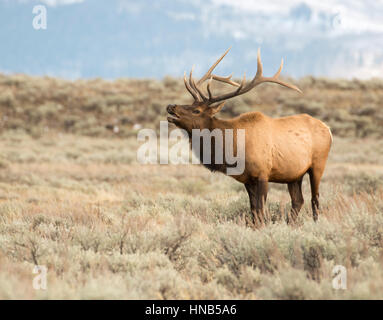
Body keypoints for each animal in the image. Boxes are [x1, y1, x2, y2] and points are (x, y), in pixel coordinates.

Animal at [167, 48, 332, 228]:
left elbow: (260, 209)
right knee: (298, 201)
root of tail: (328, 129)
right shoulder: (247, 179)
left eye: (196, 110)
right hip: (294, 175)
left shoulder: (262, 174)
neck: (232, 148)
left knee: (314, 199)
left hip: (318, 165)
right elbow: (253, 211)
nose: (171, 106)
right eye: (190, 104)